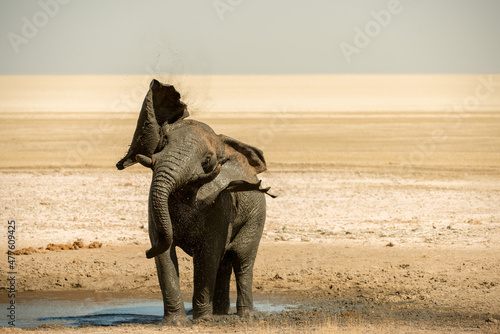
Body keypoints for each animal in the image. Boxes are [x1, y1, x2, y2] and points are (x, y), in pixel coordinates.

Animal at [116, 79, 274, 324]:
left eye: (208, 160)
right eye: (163, 142)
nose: (146, 252)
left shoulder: (221, 203)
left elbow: (207, 254)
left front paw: (202, 321)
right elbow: (165, 254)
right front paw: (175, 323)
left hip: (257, 214)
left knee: (241, 257)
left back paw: (244, 316)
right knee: (225, 261)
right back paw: (220, 313)